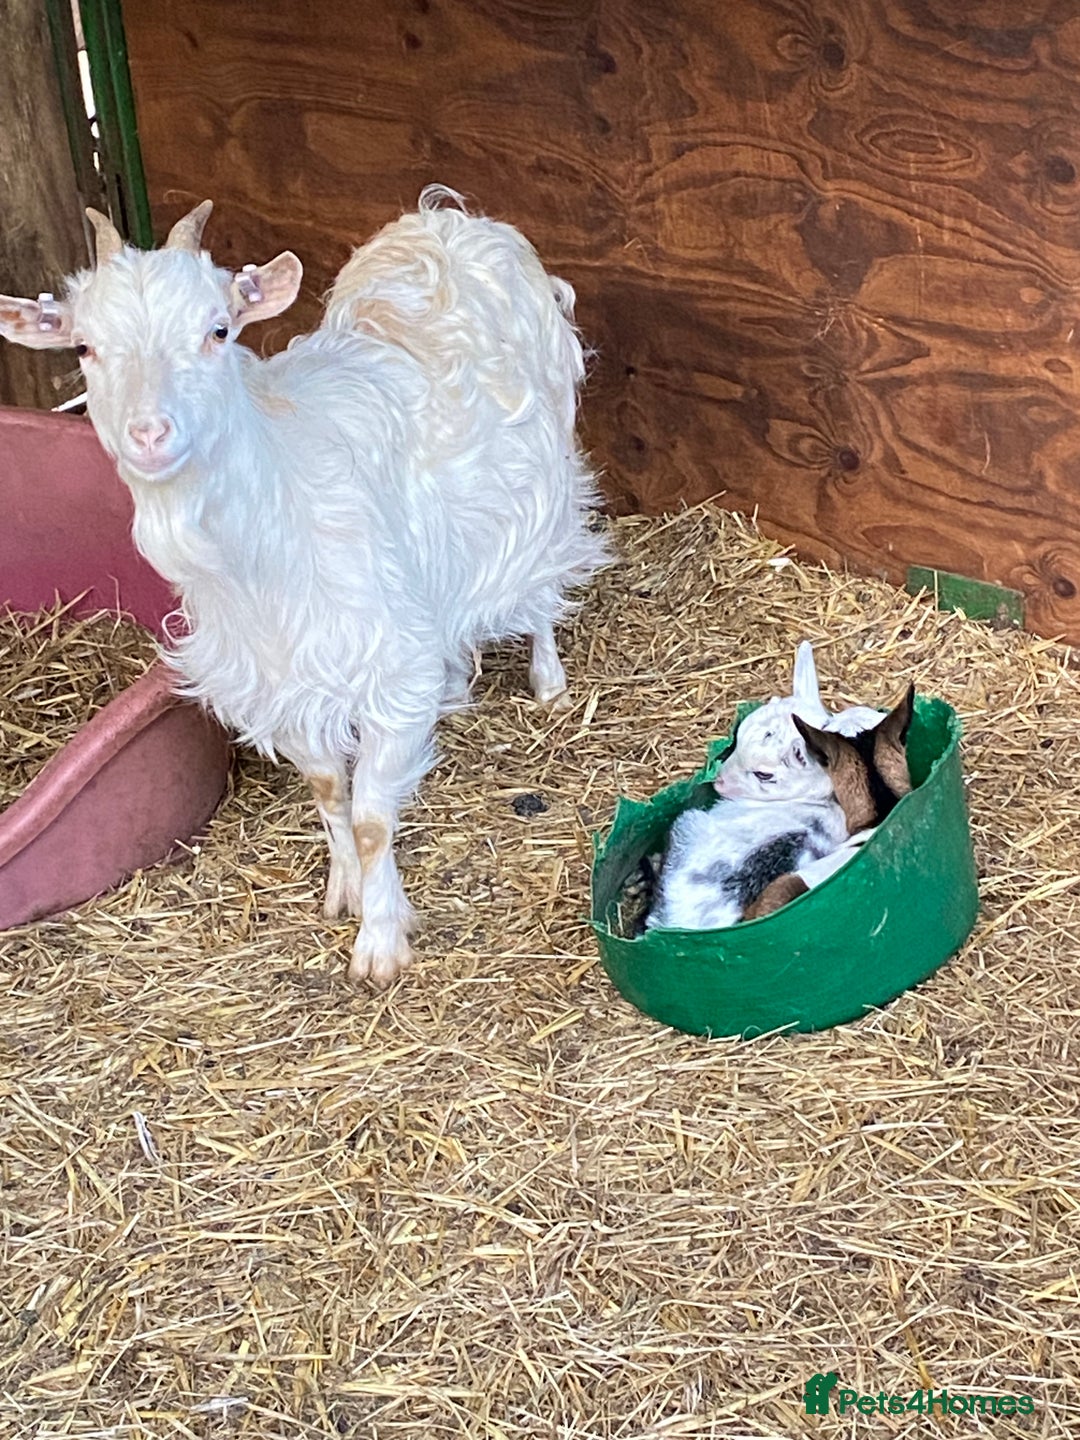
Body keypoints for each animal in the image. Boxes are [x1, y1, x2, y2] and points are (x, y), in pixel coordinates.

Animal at [0, 188, 610, 984]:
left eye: (218, 330)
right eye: (83, 347)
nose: (150, 434)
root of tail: (446, 218)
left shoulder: (384, 667)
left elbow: (374, 817)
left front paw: (380, 943)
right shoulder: (275, 678)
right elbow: (329, 791)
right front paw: (343, 891)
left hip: (544, 478)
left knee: (539, 583)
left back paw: (549, 682)